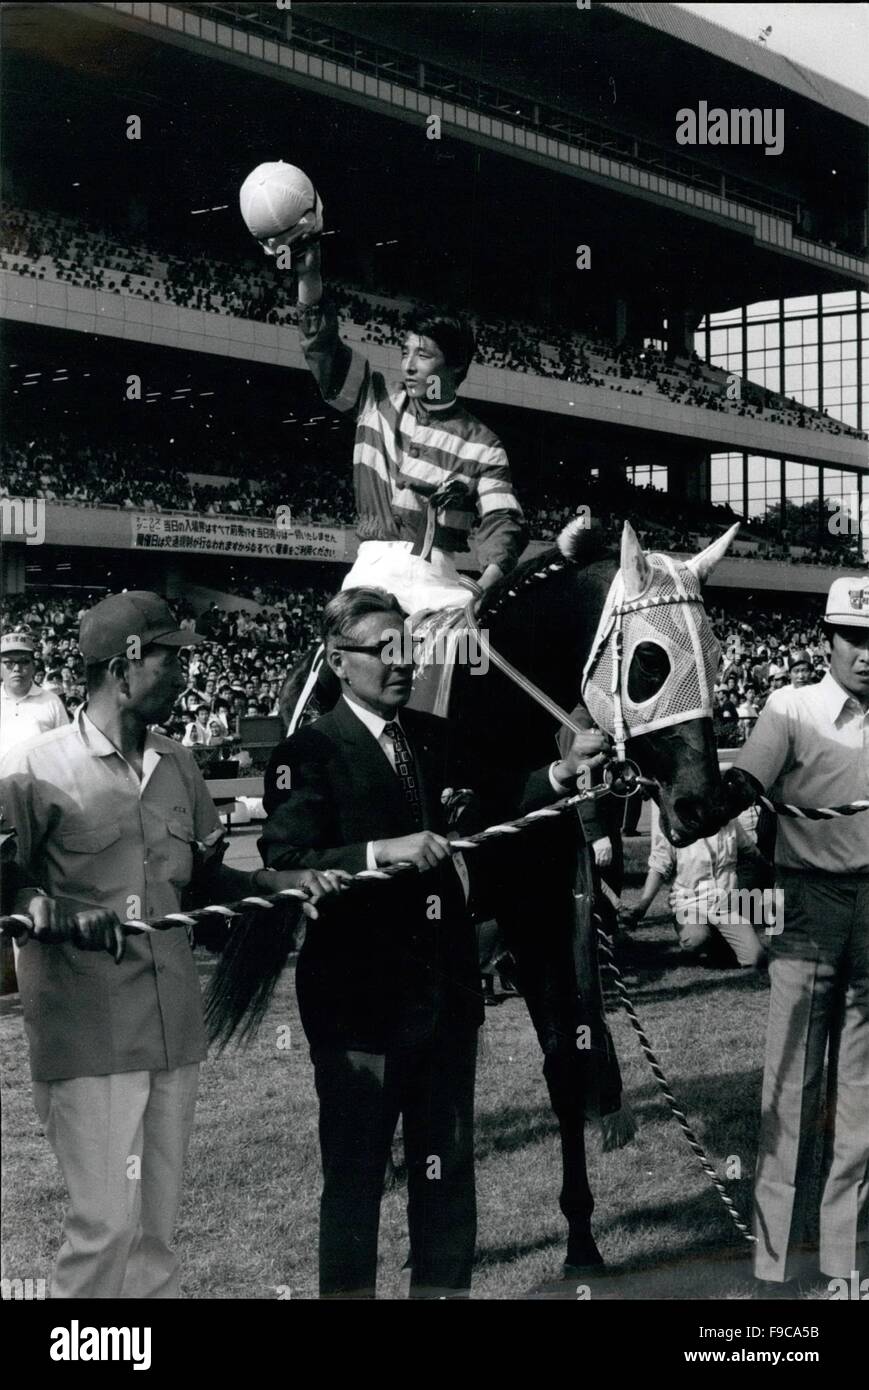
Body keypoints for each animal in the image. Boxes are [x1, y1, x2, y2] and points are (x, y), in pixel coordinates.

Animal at [204, 519, 739, 1273]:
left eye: (719, 659)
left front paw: (580, 1237)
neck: (492, 725)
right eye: (649, 664)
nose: (704, 804)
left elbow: (563, 1060)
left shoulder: (541, 905)